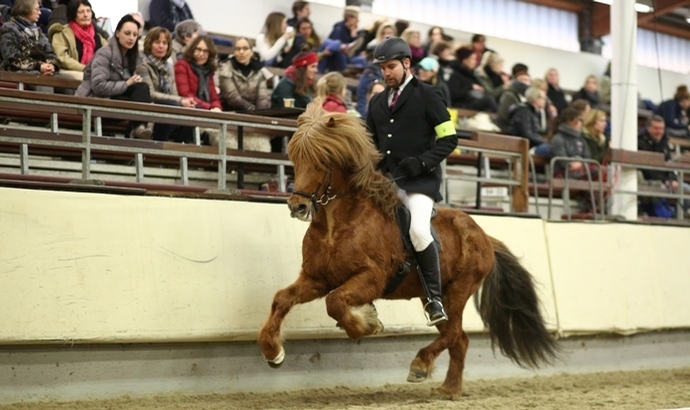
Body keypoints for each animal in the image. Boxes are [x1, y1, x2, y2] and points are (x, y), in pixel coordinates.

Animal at [255, 103, 556, 400]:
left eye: (322, 161)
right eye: (295, 159)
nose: (298, 207)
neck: (336, 224)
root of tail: (484, 235)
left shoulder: (372, 278)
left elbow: (335, 302)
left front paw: (368, 323)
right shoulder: (317, 278)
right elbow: (282, 299)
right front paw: (273, 352)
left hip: (458, 290)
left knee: (453, 333)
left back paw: (421, 366)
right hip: (432, 295)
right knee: (458, 339)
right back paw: (449, 389)